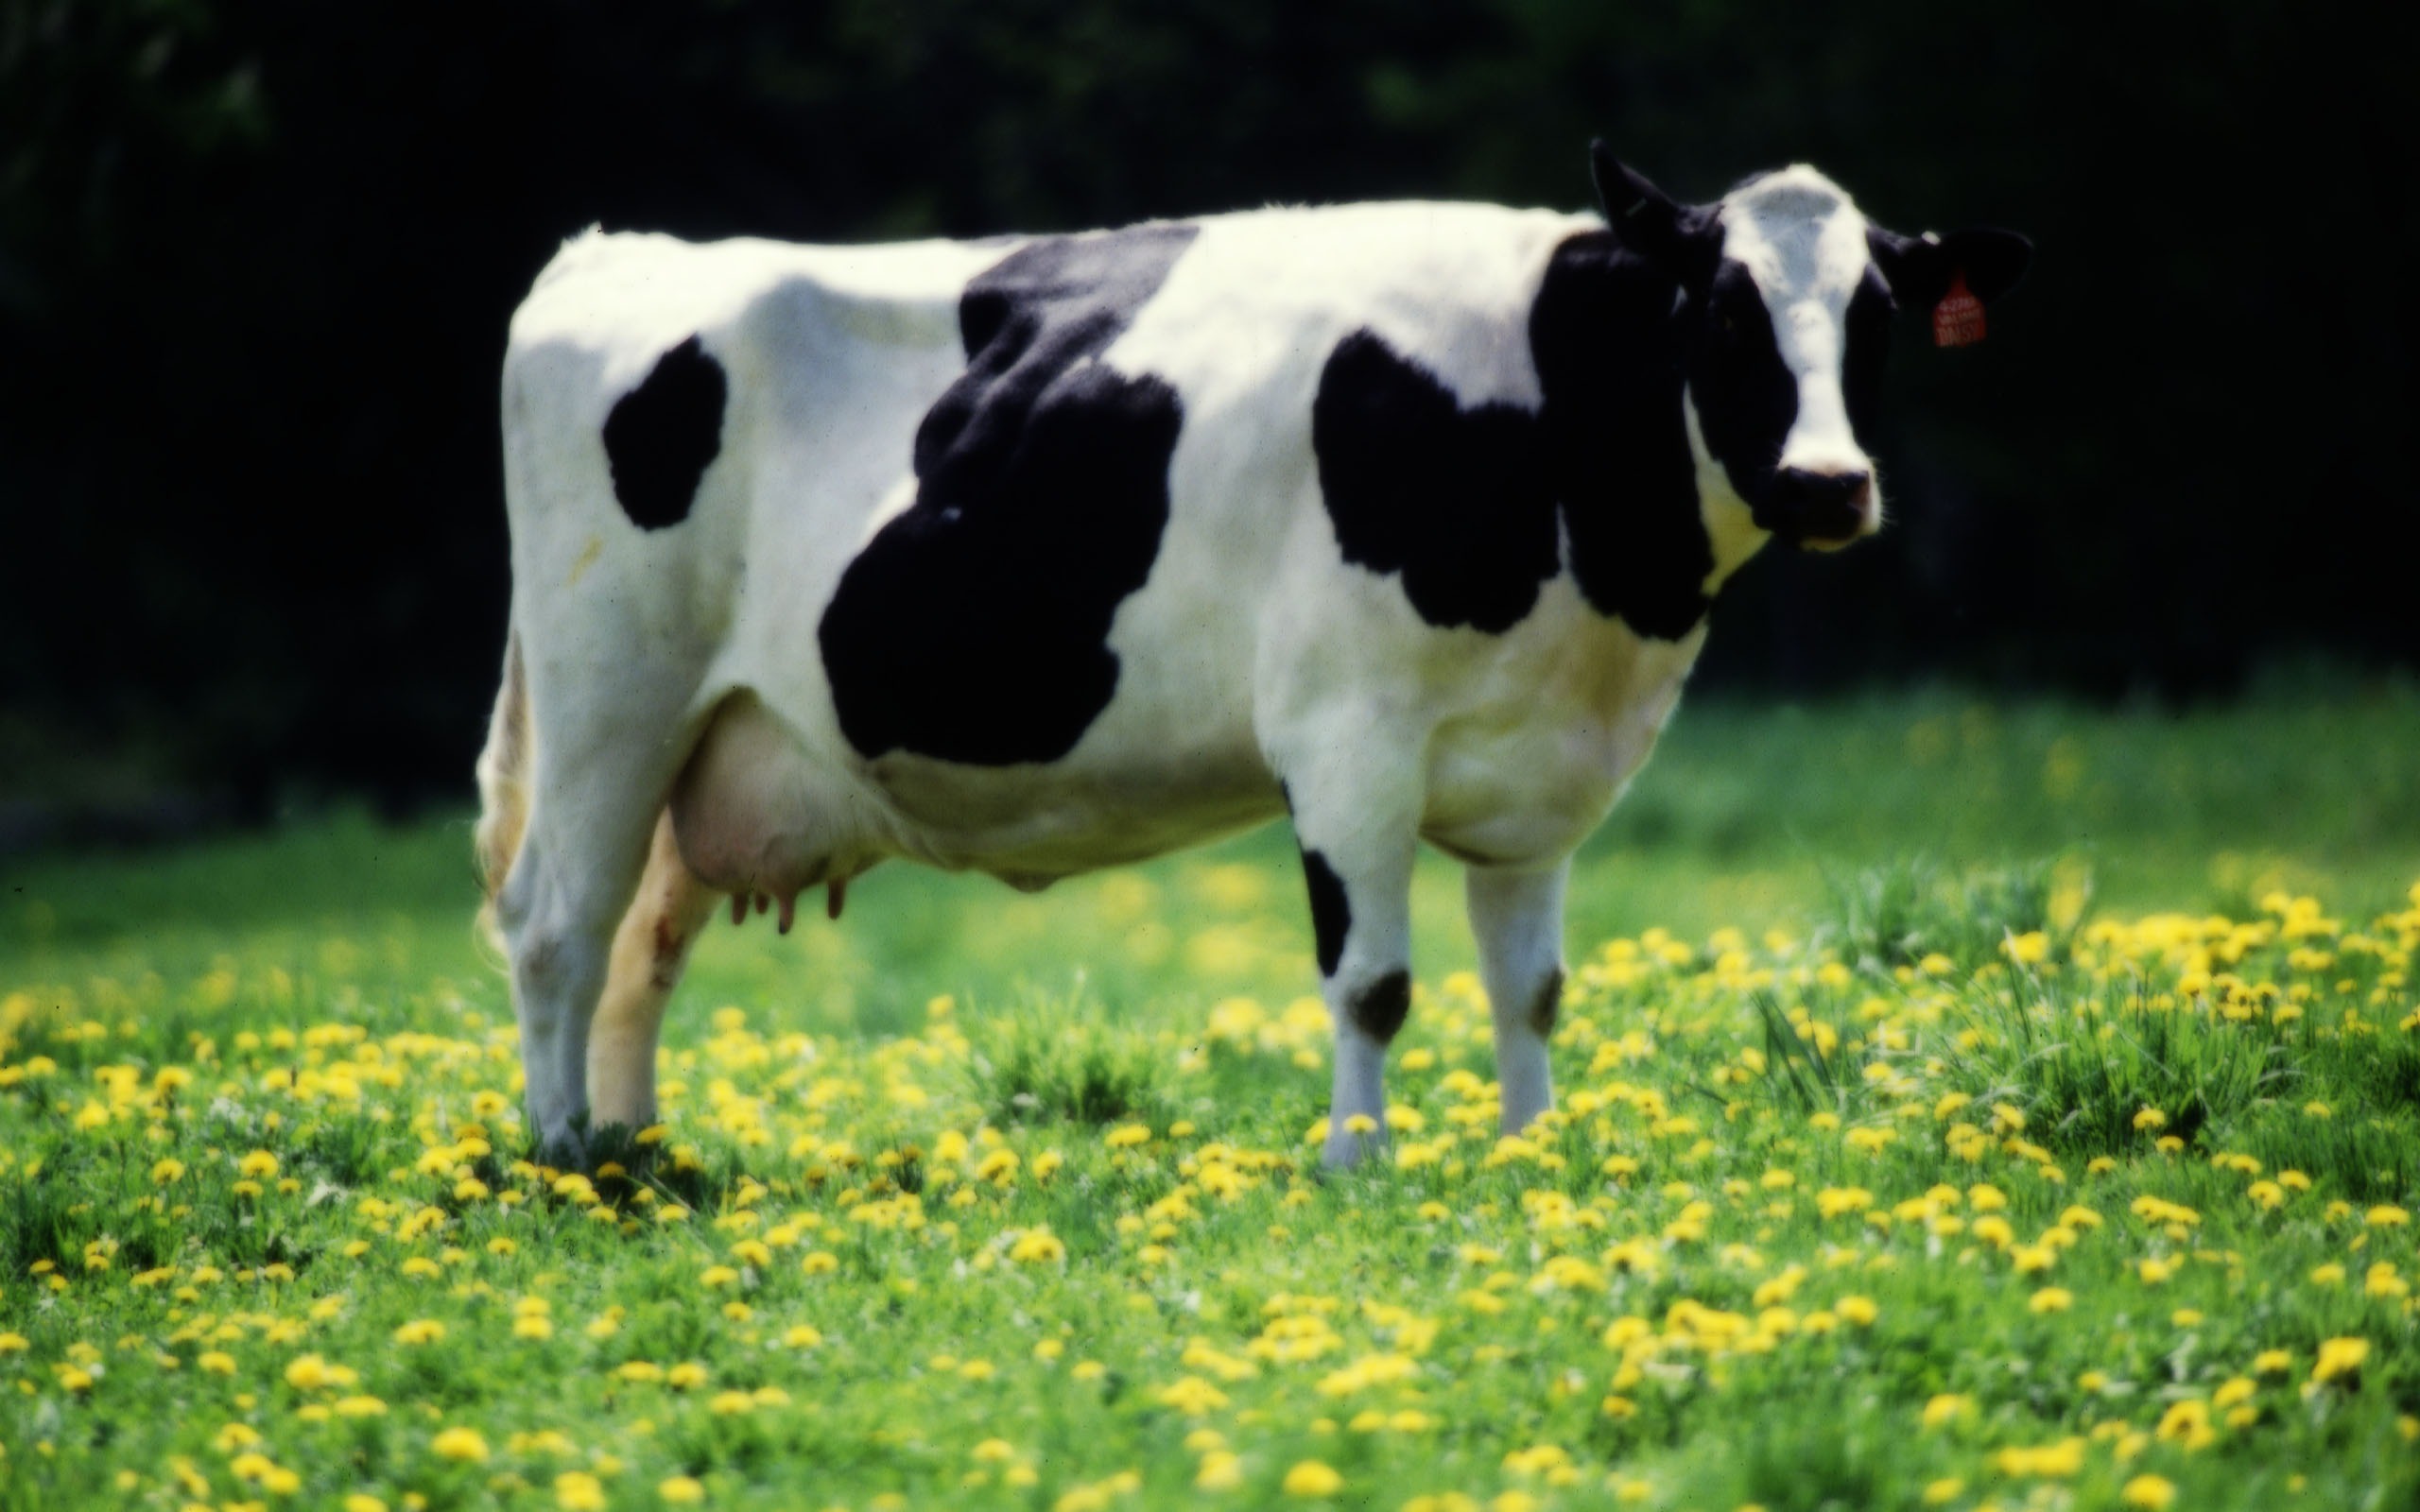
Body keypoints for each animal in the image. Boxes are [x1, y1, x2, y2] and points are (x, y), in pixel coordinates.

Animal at [474, 144, 2030, 1168]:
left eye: (1877, 317)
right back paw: (563, 1160)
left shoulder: (1542, 772)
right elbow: (1374, 981)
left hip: (710, 738)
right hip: (611, 694)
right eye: (1722, 311)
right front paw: (1357, 1164)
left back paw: (637, 1152)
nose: (1827, 484)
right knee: (557, 925)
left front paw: (1532, 1154)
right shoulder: (1347, 737)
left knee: (642, 944)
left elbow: (1529, 986)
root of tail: (616, 251)